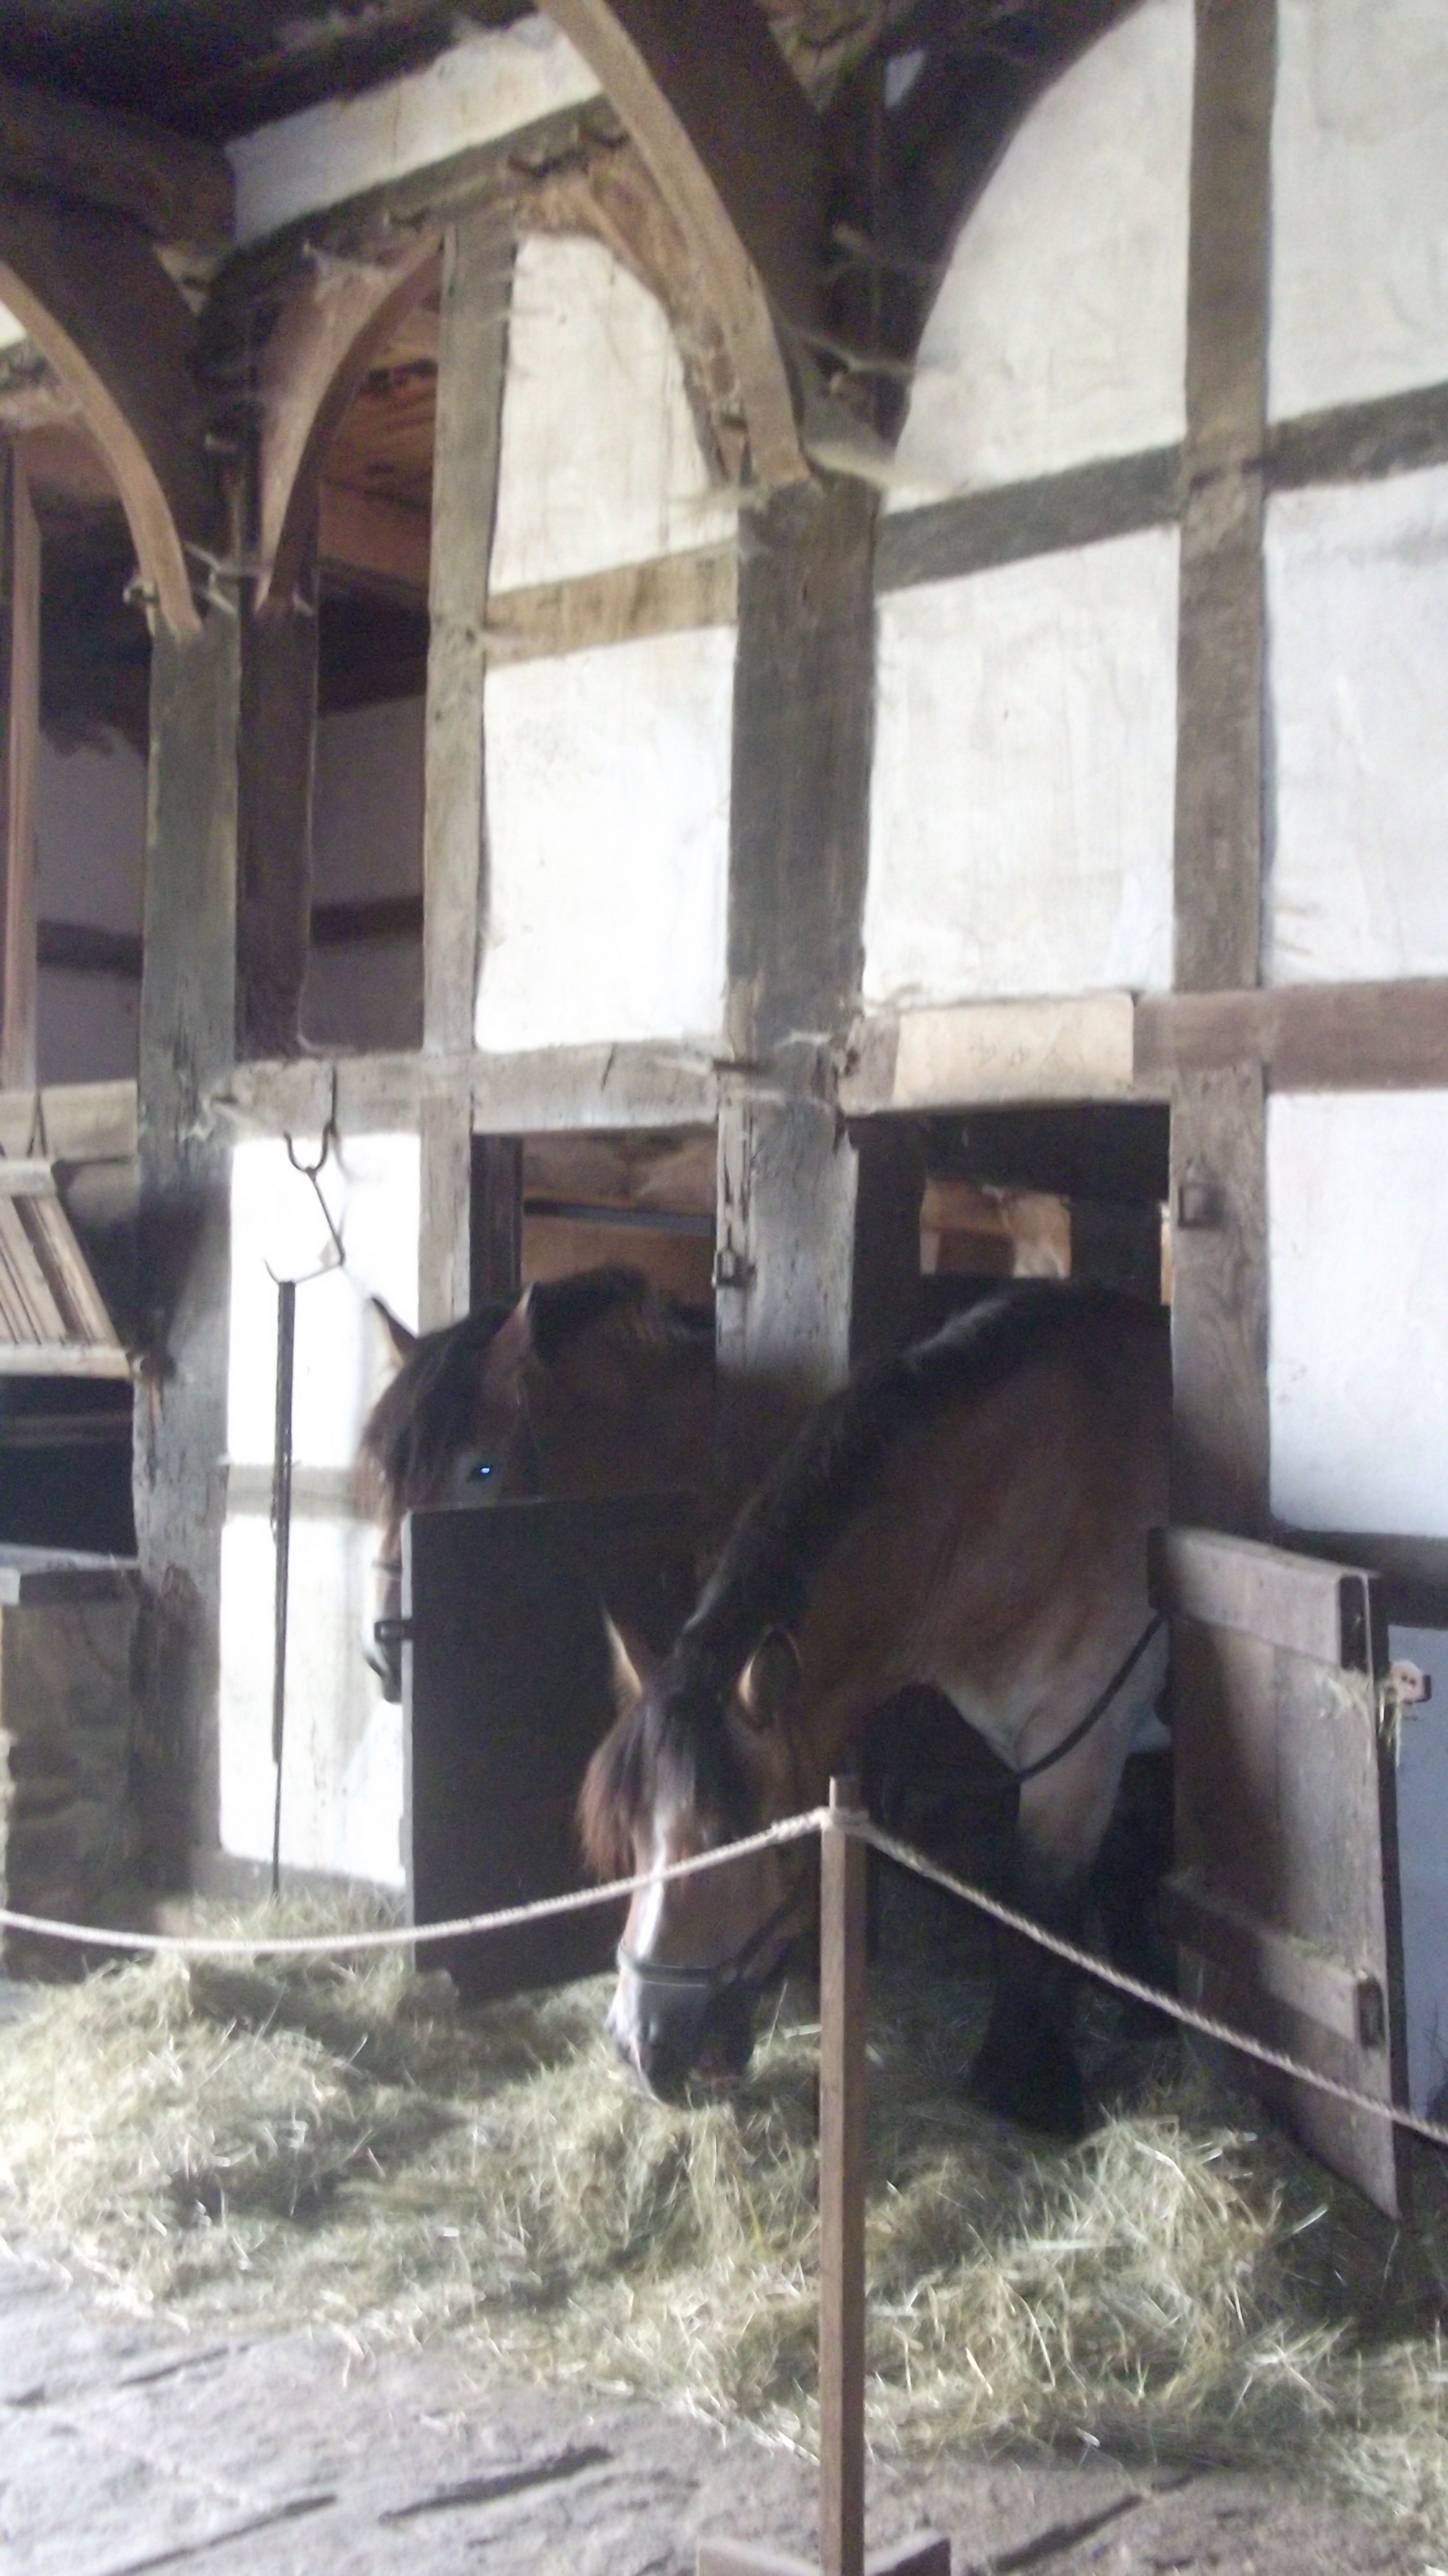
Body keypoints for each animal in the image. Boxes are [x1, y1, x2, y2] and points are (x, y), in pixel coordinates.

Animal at [572, 1278, 1159, 2143]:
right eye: (635, 1837)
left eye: (721, 1838)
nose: (636, 2043)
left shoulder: (1081, 1746)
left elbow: (1039, 1903)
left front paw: (1028, 2085)